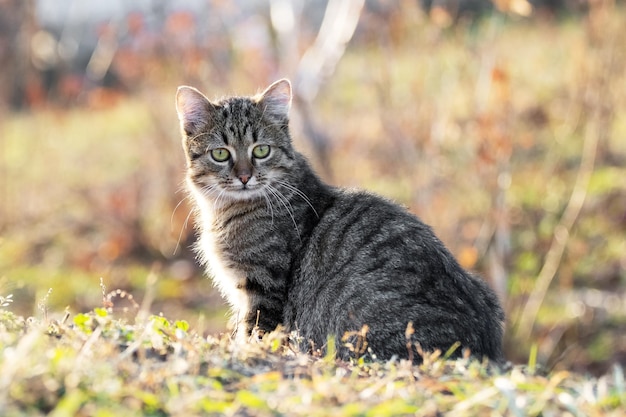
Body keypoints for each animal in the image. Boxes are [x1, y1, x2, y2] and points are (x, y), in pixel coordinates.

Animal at [174, 79, 502, 362]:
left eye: (261, 150)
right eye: (220, 154)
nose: (244, 176)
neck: (226, 210)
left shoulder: (263, 286)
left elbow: (255, 334)